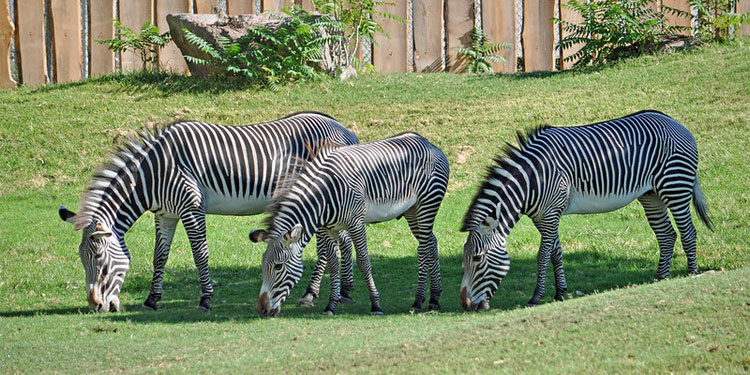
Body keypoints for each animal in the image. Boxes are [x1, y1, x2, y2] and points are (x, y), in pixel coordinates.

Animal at [58, 112, 358, 314]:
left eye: (103, 266)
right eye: (82, 262)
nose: (96, 306)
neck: (153, 173)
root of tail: (345, 129)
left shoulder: (191, 207)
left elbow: (200, 254)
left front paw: (205, 299)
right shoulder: (165, 214)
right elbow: (159, 257)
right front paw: (152, 300)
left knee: (331, 245)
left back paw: (314, 294)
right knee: (340, 241)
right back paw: (342, 292)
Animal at [253, 132, 452, 318]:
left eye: (278, 266)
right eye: (262, 265)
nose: (262, 310)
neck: (324, 195)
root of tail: (428, 143)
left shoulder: (356, 223)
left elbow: (363, 262)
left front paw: (376, 305)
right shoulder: (327, 229)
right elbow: (333, 264)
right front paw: (331, 305)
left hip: (427, 203)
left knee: (423, 248)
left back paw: (418, 301)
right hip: (412, 210)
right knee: (431, 242)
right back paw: (434, 298)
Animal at [462, 111, 712, 312]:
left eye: (477, 258)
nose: (465, 305)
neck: (533, 181)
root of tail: (674, 121)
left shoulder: (551, 214)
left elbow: (542, 255)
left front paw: (536, 297)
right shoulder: (545, 217)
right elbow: (556, 253)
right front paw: (560, 293)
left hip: (675, 186)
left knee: (688, 232)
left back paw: (692, 273)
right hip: (651, 195)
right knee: (667, 235)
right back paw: (661, 277)